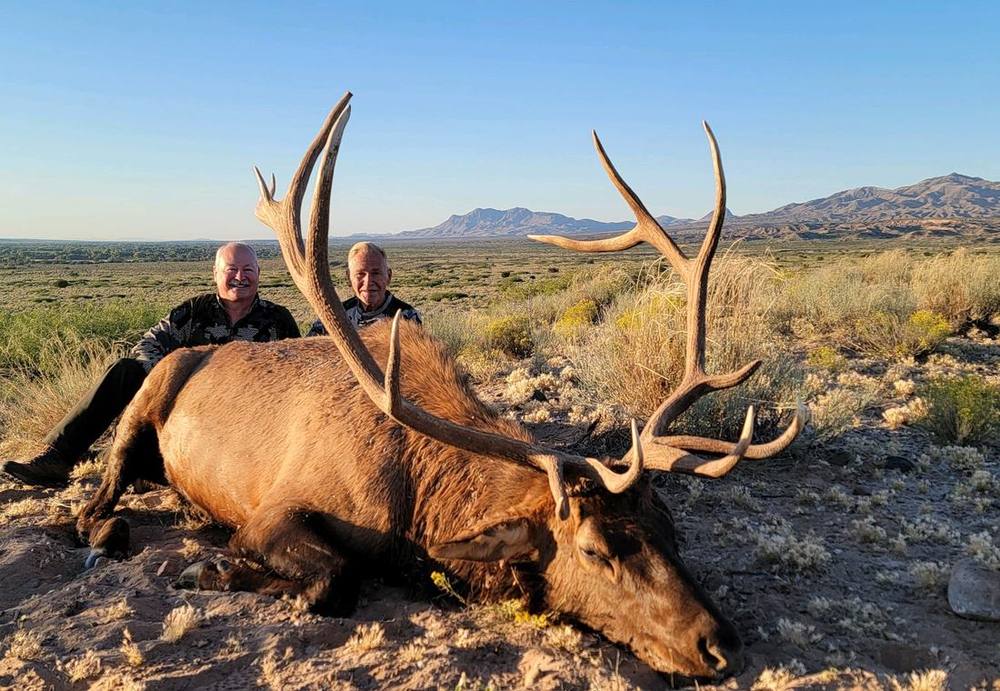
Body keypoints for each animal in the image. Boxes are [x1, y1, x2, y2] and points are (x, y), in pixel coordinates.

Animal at [75, 92, 807, 682]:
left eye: (670, 528)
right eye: (595, 550)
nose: (721, 643)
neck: (416, 500)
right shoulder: (271, 510)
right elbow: (333, 578)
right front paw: (212, 568)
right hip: (147, 397)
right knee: (98, 498)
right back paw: (107, 522)